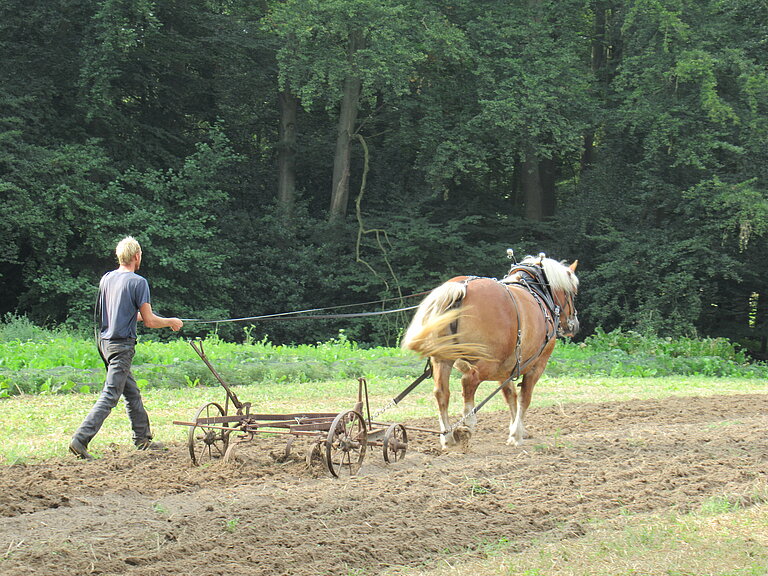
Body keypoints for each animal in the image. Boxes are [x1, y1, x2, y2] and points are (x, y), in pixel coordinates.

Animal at [402, 254, 576, 448]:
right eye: (573, 293)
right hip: (487, 361)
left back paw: (447, 437)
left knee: (441, 393)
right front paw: (516, 435)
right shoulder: (537, 364)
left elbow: (510, 396)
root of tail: (461, 287)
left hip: (443, 359)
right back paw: (468, 422)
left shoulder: (506, 369)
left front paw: (517, 429)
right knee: (469, 380)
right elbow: (524, 398)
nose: (573, 324)